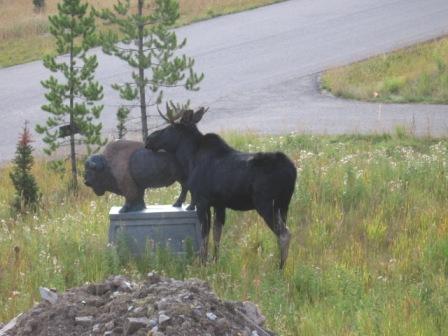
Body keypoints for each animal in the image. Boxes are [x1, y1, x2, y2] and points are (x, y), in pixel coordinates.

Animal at [145, 106, 296, 270]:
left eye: (170, 127)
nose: (148, 139)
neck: (189, 158)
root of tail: (292, 171)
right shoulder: (219, 204)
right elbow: (217, 234)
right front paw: (215, 262)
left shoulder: (201, 200)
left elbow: (205, 235)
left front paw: (203, 264)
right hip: (284, 204)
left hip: (266, 203)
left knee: (284, 234)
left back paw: (280, 269)